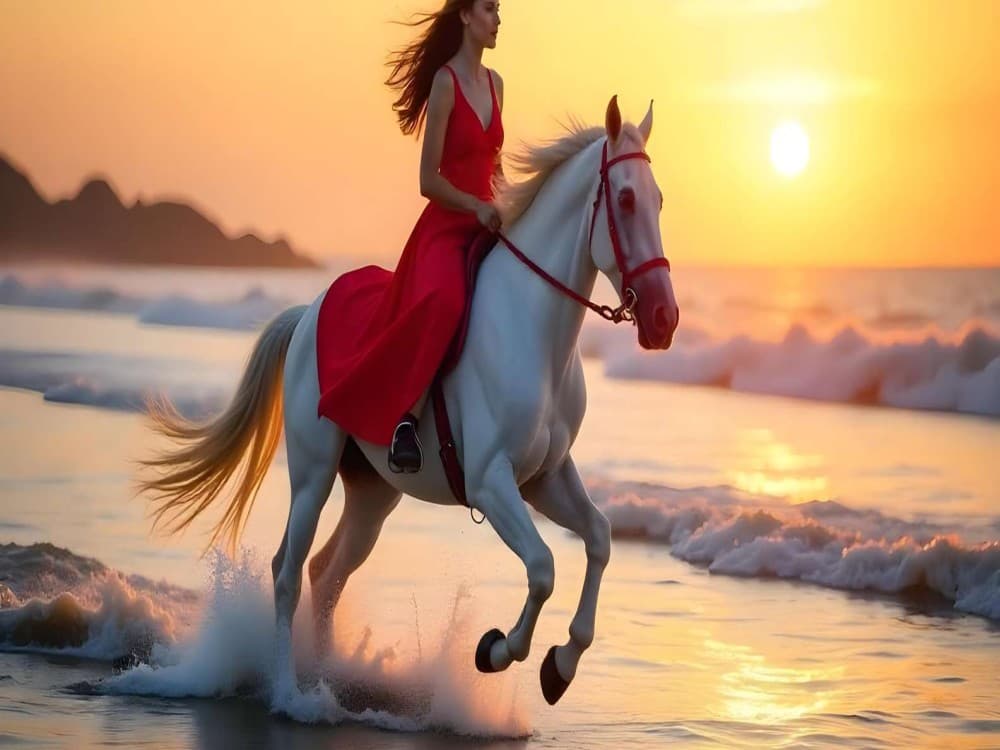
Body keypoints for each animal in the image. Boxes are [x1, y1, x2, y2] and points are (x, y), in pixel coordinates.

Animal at [136, 95, 678, 708]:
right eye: (626, 199)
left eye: (660, 200)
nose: (664, 319)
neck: (535, 332)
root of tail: (309, 312)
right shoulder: (492, 482)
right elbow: (542, 566)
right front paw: (495, 649)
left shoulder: (547, 476)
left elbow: (601, 540)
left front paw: (559, 665)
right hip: (313, 475)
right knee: (286, 571)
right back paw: (289, 693)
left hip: (372, 494)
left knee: (326, 574)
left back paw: (329, 681)